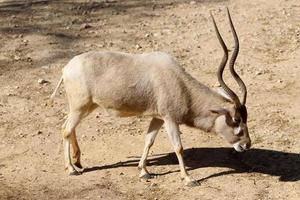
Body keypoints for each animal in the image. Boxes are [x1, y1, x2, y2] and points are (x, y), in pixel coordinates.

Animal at [51, 9, 251, 186]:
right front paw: (188, 179)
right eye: (236, 120)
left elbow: (149, 140)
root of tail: (67, 67)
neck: (180, 84)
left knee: (68, 126)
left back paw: (78, 161)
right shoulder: (170, 119)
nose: (247, 144)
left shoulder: (158, 117)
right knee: (66, 129)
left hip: (86, 106)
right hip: (80, 107)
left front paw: (143, 171)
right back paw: (71, 169)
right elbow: (178, 147)